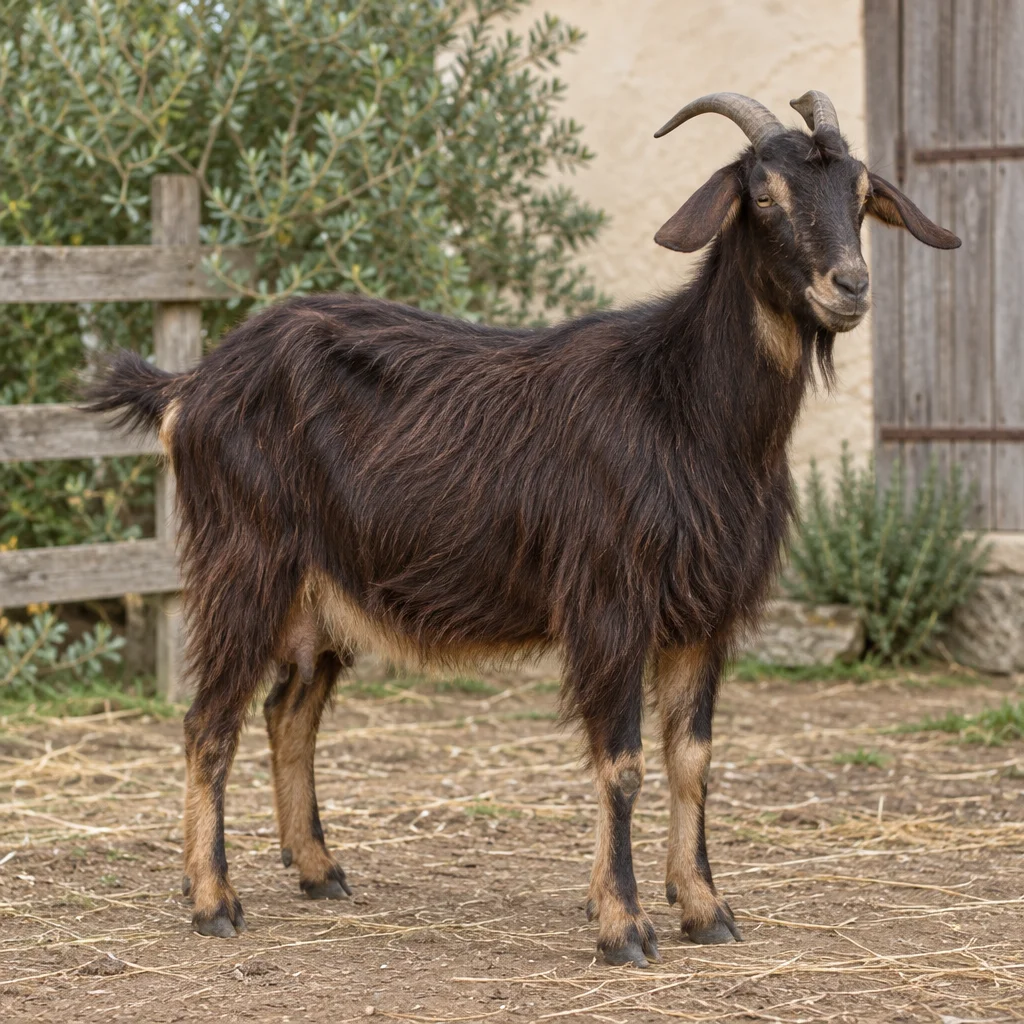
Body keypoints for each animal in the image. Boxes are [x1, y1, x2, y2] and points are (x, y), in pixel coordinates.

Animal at [88, 91, 959, 965]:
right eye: (765, 196)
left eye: (860, 196)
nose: (850, 286)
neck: (685, 405)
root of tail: (190, 386)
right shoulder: (611, 603)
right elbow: (623, 764)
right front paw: (623, 925)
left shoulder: (704, 613)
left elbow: (692, 761)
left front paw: (706, 908)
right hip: (244, 562)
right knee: (208, 722)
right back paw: (213, 899)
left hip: (322, 590)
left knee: (287, 713)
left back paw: (317, 868)